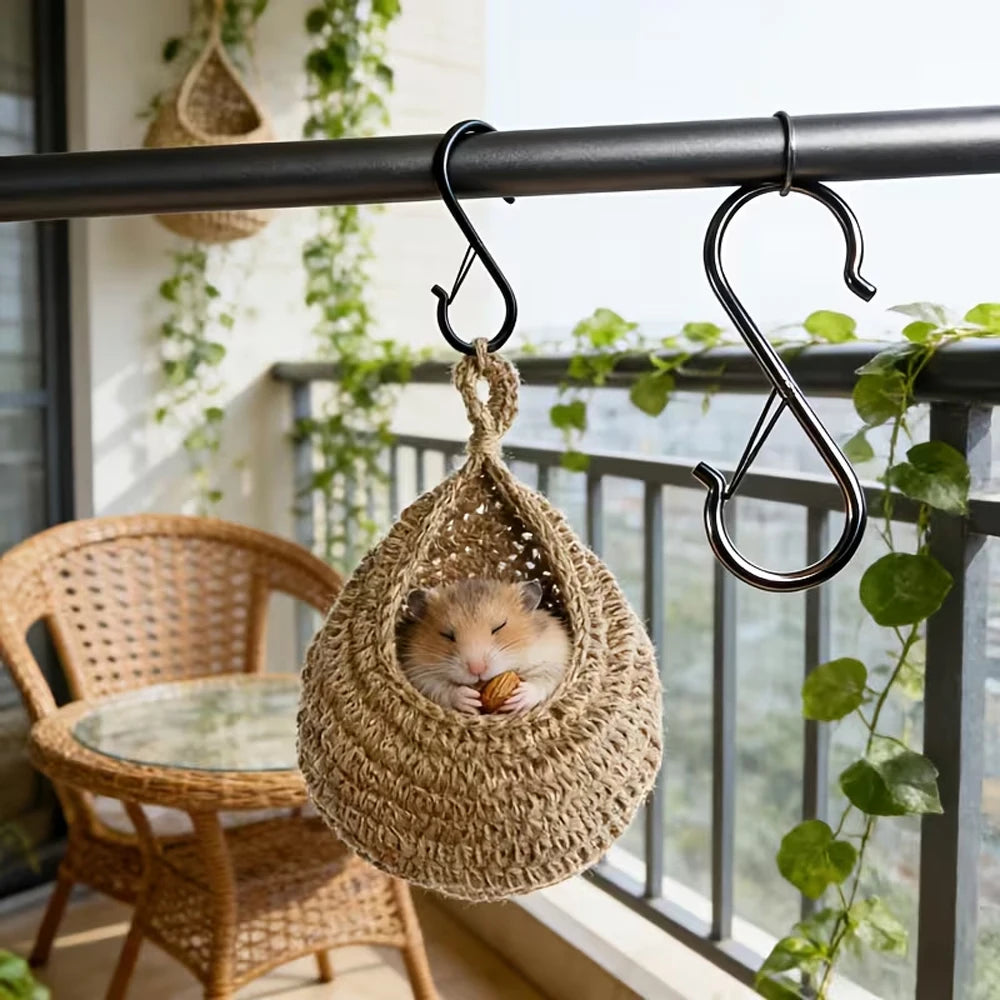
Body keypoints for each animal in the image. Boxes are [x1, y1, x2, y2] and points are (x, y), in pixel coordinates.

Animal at [398, 578, 569, 715]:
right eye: (447, 635)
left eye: (499, 627)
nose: (477, 670)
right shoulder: (417, 670)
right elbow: (439, 687)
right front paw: (469, 700)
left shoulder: (554, 655)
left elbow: (545, 680)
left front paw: (519, 698)